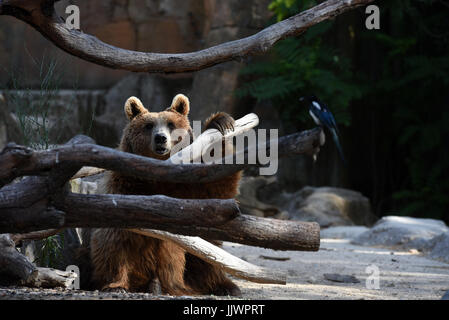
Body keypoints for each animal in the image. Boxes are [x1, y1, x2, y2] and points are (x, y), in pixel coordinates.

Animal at [90, 94, 242, 296]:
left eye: (170, 124)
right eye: (148, 125)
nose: (160, 138)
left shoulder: (189, 188)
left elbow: (217, 187)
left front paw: (220, 122)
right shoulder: (125, 184)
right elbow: (118, 233)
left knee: (207, 253)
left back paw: (222, 286)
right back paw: (121, 284)